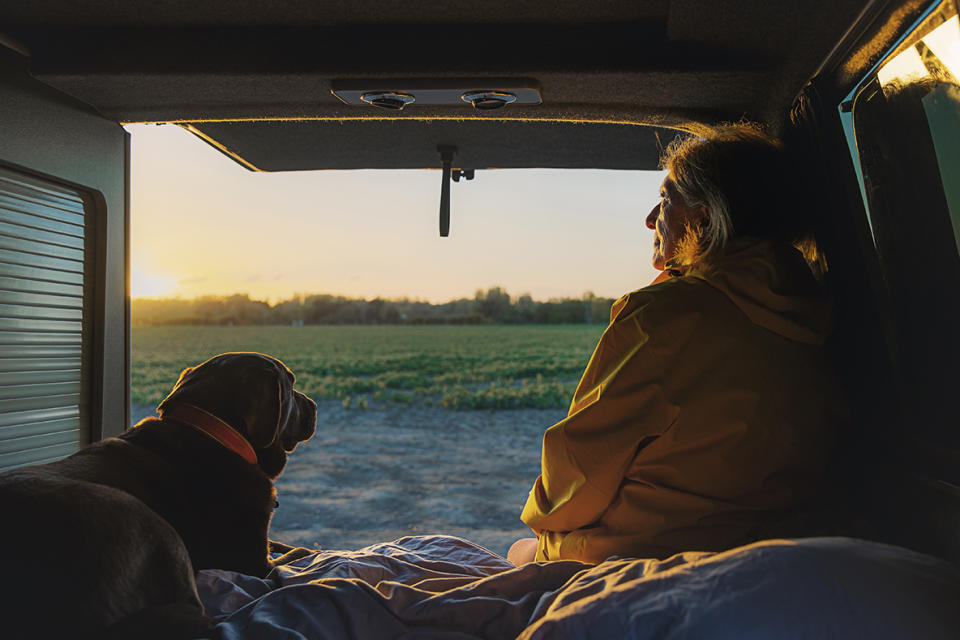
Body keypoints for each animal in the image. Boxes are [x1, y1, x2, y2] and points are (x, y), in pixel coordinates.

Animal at [0, 352, 318, 636]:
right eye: (291, 384)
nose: (314, 405)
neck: (215, 433)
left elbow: (280, 544)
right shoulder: (253, 563)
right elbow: (291, 558)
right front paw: (305, 555)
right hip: (145, 521)